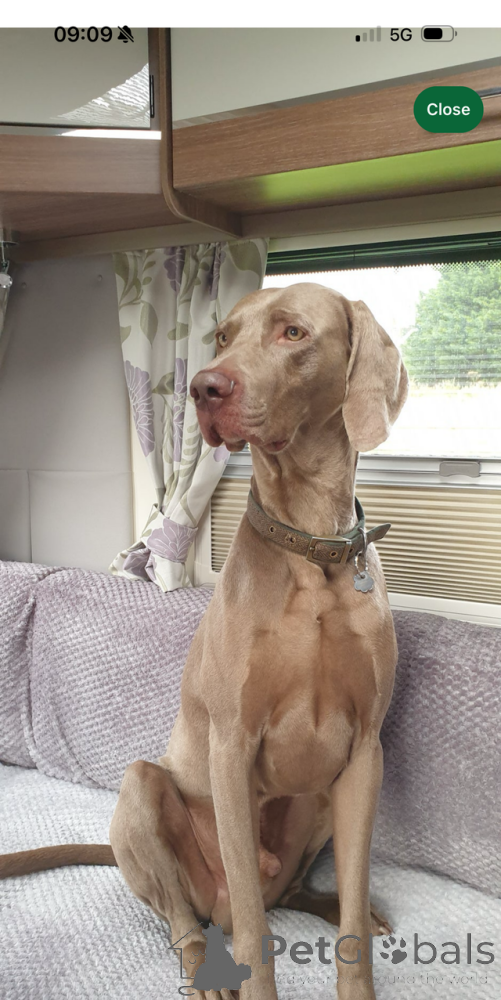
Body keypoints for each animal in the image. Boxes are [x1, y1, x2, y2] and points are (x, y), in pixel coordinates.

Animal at [0, 283, 408, 1000]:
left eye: (293, 332)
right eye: (222, 336)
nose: (204, 387)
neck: (313, 550)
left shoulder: (364, 752)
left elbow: (354, 919)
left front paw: (356, 937)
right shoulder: (231, 744)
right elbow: (251, 933)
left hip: (320, 803)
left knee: (286, 894)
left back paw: (323, 903)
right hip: (144, 792)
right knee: (189, 917)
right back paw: (202, 969)